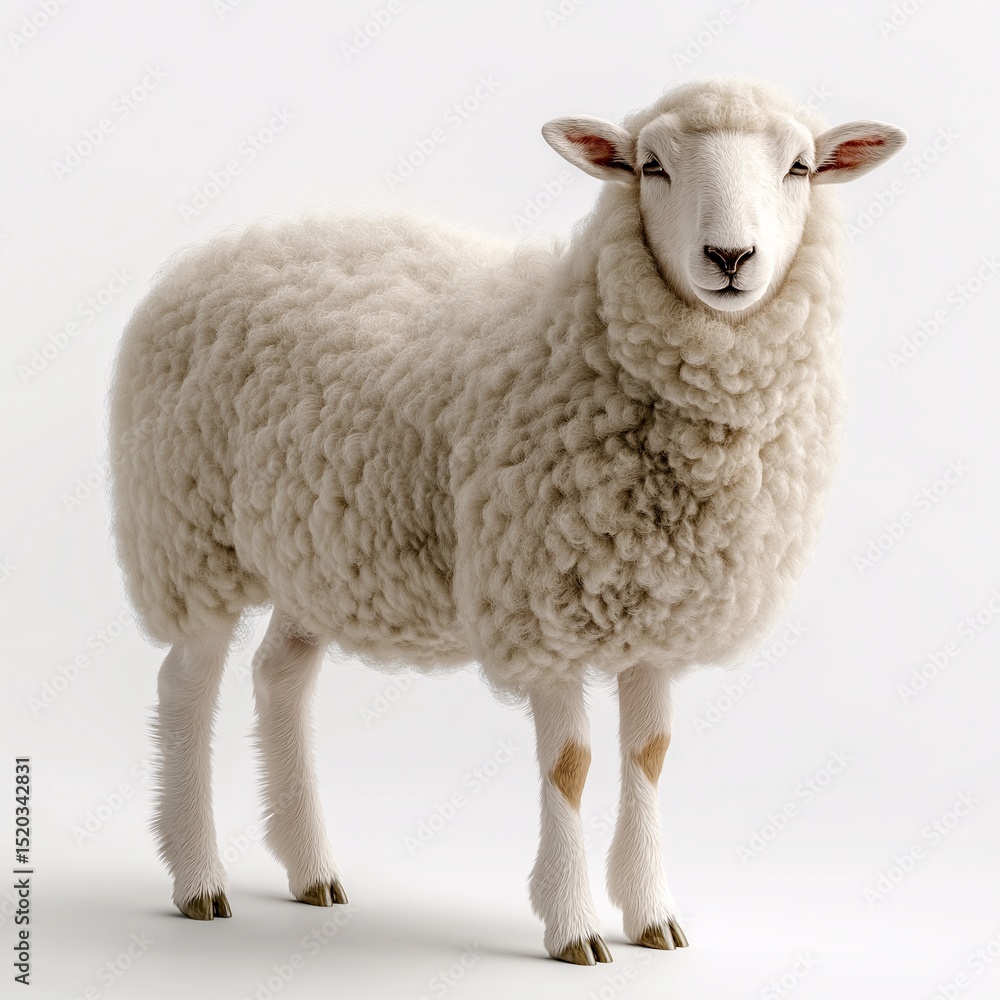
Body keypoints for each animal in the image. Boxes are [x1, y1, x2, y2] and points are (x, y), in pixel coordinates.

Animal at [107, 76, 906, 965]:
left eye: (799, 167)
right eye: (652, 166)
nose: (730, 259)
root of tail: (213, 249)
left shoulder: (660, 609)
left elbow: (650, 756)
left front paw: (652, 915)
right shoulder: (540, 605)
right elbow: (572, 765)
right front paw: (574, 927)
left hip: (315, 549)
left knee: (280, 676)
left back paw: (310, 868)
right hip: (186, 534)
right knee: (187, 687)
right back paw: (197, 877)